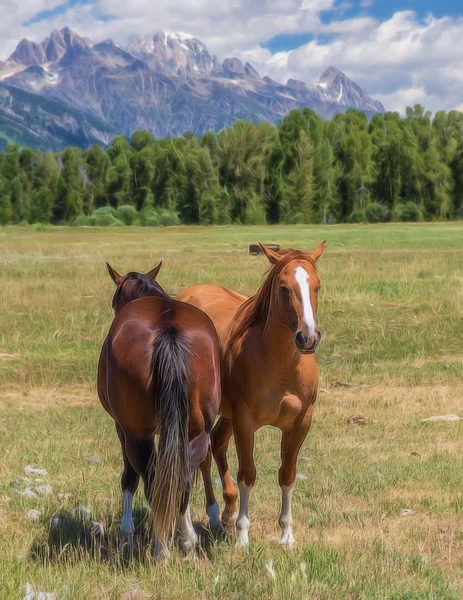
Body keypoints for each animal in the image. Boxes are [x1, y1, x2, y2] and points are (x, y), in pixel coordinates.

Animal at [97, 260, 222, 560]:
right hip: (197, 431)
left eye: (114, 300)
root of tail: (168, 328)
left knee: (151, 480)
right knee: (182, 479)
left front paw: (127, 534)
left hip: (136, 434)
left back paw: (161, 549)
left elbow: (130, 478)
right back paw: (186, 542)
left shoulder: (122, 429)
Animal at [178, 241, 326, 548]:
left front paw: (286, 535)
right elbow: (248, 474)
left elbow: (287, 475)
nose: (307, 338)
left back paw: (227, 511)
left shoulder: (301, 423)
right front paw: (243, 537)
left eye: (317, 286)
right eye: (283, 287)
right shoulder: (245, 421)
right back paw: (216, 516)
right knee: (202, 456)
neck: (280, 365)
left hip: (226, 415)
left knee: (217, 444)